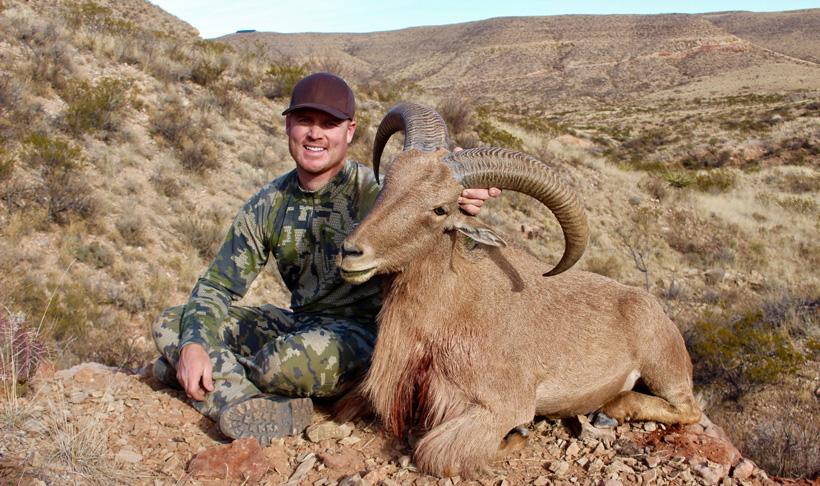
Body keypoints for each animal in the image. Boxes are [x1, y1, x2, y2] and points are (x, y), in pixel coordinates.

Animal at [337, 103, 701, 478]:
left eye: (440, 209)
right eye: (388, 181)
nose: (351, 252)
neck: (454, 307)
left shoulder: (501, 404)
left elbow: (434, 453)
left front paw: (517, 436)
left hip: (663, 366)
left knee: (687, 408)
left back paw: (611, 408)